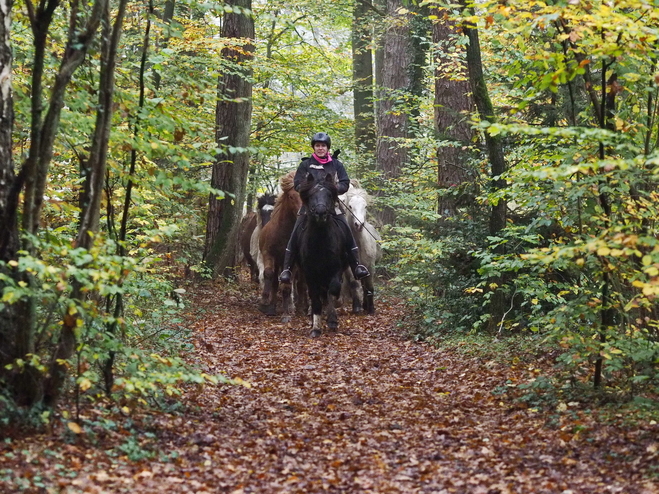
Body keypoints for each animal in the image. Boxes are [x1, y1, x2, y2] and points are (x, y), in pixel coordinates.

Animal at [298, 172, 350, 338]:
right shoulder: (309, 274)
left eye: (329, 195)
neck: (320, 244)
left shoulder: (336, 269)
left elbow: (332, 290)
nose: (320, 213)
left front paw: (332, 319)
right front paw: (315, 327)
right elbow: (315, 298)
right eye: (311, 195)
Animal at [340, 179, 382, 314]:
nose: (359, 225)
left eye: (365, 206)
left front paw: (371, 309)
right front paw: (357, 307)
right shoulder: (351, 268)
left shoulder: (371, 266)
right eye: (350, 206)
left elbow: (370, 287)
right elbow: (355, 284)